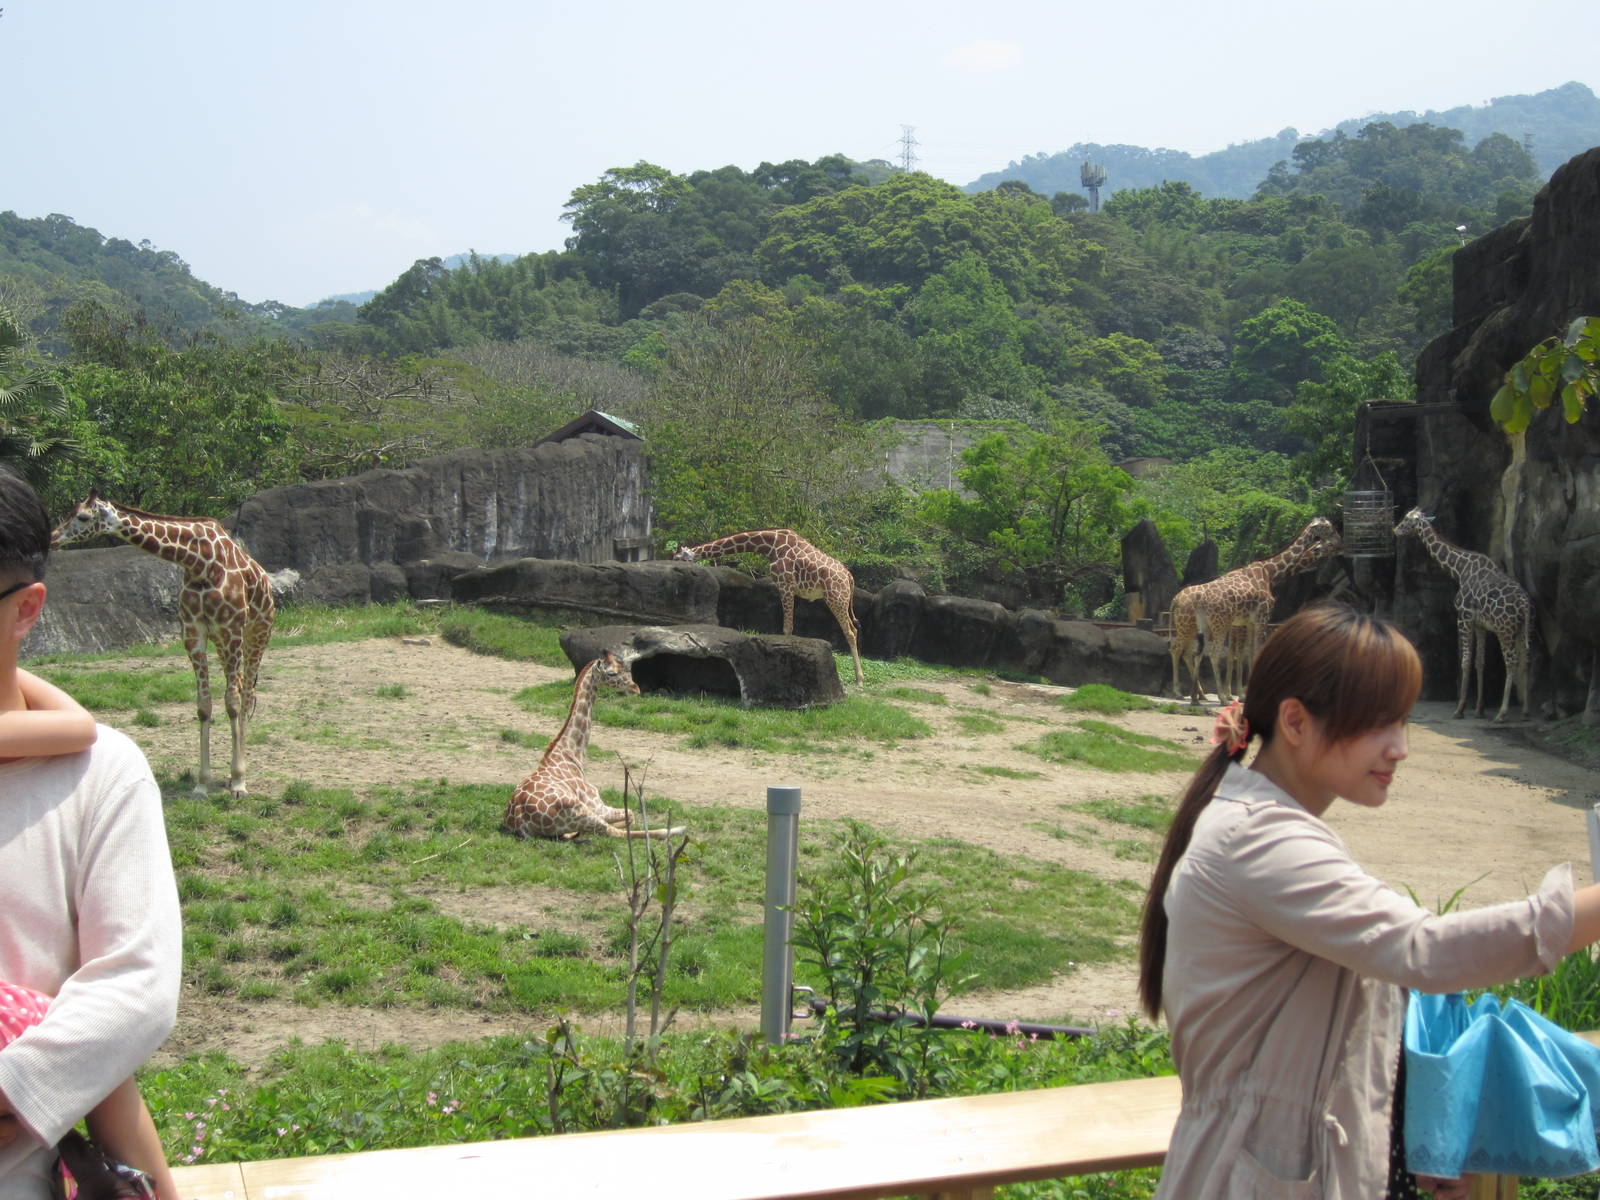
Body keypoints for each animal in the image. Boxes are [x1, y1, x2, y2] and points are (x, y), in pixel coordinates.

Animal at [51, 492, 275, 796]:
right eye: (70, 512)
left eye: (83, 517)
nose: (53, 536)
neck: (198, 561)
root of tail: (266, 581)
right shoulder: (194, 633)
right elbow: (204, 706)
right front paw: (202, 784)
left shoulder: (231, 628)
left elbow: (232, 703)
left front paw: (239, 781)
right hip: (223, 642)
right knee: (241, 687)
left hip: (255, 633)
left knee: (248, 694)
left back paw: (238, 776)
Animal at [504, 652, 683, 840]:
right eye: (612, 673)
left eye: (623, 667)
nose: (636, 688)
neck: (571, 753)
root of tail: (519, 821)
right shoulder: (597, 805)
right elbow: (631, 814)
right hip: (581, 811)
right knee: (613, 831)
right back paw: (673, 830)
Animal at [673, 529, 863, 685]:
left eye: (676, 557)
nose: (674, 565)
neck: (770, 545)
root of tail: (849, 577)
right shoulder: (786, 587)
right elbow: (788, 626)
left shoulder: (785, 585)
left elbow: (787, 628)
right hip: (841, 600)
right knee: (854, 628)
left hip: (836, 598)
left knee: (850, 631)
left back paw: (860, 680)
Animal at [1168, 517, 1345, 704]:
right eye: (1329, 528)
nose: (1341, 544)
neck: (1270, 573)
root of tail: (1175, 600)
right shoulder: (1261, 616)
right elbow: (1252, 651)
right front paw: (1240, 694)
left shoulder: (1248, 621)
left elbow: (1248, 652)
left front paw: (1242, 693)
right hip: (1207, 624)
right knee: (1196, 652)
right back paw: (1204, 695)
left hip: (1202, 625)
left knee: (1194, 653)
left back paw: (1196, 697)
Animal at [1394, 507, 1532, 722]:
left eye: (1407, 519)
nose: (1396, 529)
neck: (1459, 569)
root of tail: (1524, 605)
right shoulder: (1480, 624)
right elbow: (1479, 662)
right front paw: (1479, 709)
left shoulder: (1463, 617)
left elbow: (1465, 661)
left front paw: (1460, 709)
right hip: (1522, 629)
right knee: (1526, 660)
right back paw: (1525, 711)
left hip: (1505, 630)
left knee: (1512, 661)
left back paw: (1502, 713)